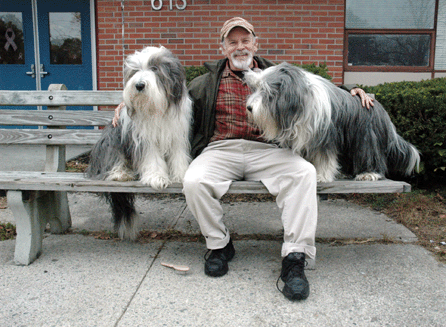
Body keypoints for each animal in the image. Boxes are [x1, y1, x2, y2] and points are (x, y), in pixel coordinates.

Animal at [86, 46, 192, 240]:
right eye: (134, 71)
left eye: (154, 68)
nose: (139, 85)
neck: (156, 108)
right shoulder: (143, 138)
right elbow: (152, 159)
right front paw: (157, 177)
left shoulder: (176, 135)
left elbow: (178, 155)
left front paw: (181, 174)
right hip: (110, 140)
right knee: (112, 162)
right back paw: (120, 173)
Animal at [246, 62, 420, 183]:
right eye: (256, 88)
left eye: (267, 91)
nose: (249, 108)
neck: (299, 104)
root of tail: (379, 108)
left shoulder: (325, 137)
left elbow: (324, 158)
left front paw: (322, 176)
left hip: (367, 136)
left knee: (371, 154)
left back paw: (369, 173)